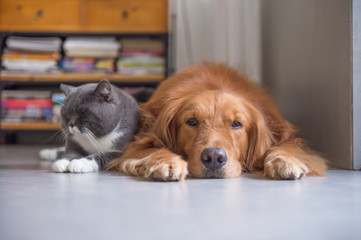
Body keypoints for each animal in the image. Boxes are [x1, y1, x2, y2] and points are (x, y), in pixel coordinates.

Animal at [107, 62, 326, 181]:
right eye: (192, 121)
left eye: (237, 124)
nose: (213, 157)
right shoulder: (141, 139)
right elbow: (151, 148)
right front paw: (166, 162)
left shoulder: (283, 131)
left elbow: (287, 146)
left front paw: (285, 160)